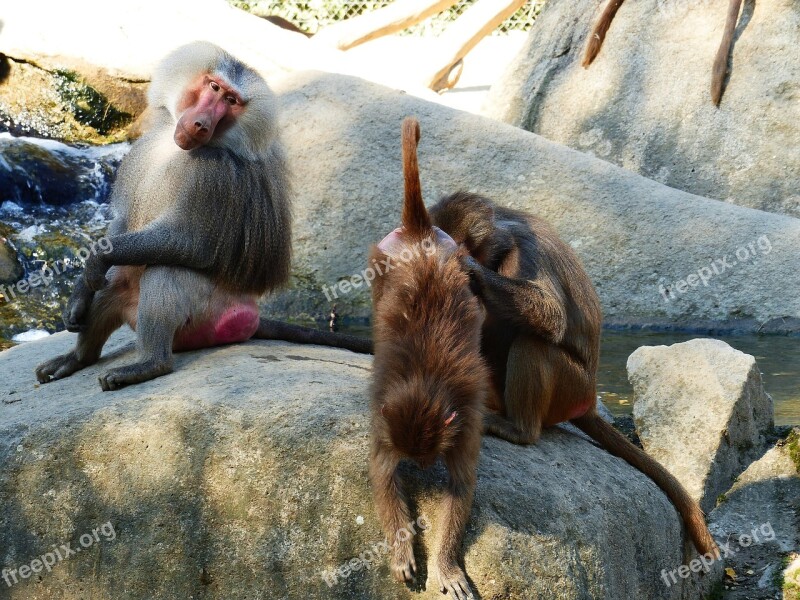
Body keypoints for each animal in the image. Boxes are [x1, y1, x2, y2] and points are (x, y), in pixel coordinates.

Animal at [32, 39, 368, 392]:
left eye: (231, 102)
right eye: (214, 87)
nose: (200, 123)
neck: (174, 148)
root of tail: (252, 314)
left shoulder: (212, 175)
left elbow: (190, 244)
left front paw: (95, 261)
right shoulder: (141, 153)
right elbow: (119, 229)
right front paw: (79, 294)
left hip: (210, 310)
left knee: (165, 269)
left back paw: (147, 365)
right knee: (113, 283)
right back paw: (74, 360)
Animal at [432, 193, 720, 556]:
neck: (502, 237)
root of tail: (590, 399)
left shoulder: (525, 250)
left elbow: (551, 315)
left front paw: (469, 268)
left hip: (570, 389)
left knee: (534, 342)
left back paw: (519, 430)